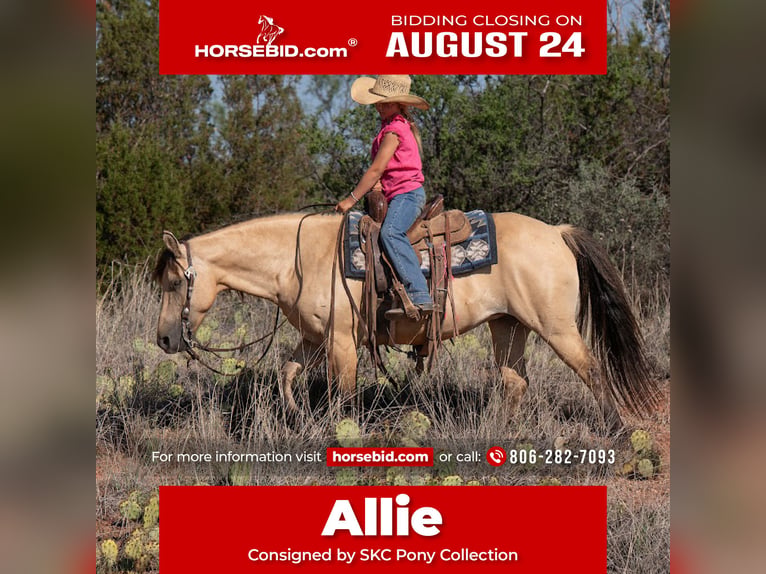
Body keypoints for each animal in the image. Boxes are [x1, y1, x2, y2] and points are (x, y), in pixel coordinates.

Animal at [153, 211, 658, 433]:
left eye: (176, 282)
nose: (162, 339)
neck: (297, 259)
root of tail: (556, 231)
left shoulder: (342, 342)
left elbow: (342, 394)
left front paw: (343, 434)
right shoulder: (314, 339)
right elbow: (286, 375)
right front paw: (299, 419)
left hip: (555, 328)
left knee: (591, 369)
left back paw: (617, 429)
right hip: (507, 325)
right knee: (515, 380)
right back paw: (497, 434)